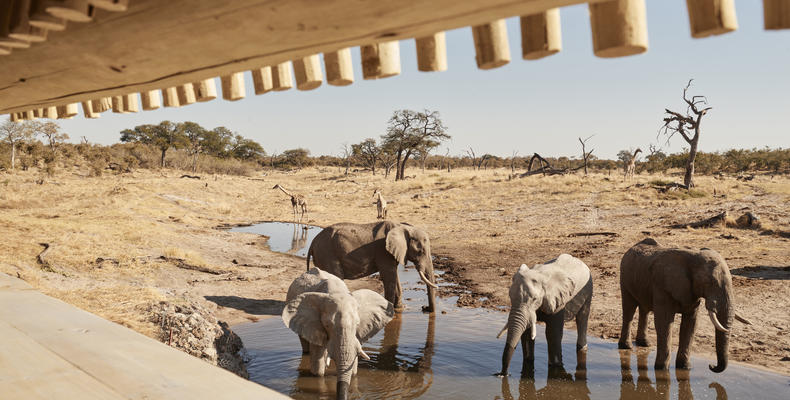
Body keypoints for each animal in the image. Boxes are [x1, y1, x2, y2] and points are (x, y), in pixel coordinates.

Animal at [284, 266, 396, 400]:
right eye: (327, 325)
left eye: (357, 324)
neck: (336, 292)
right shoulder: (315, 326)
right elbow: (318, 368)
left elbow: (353, 368)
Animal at [306, 222, 440, 312]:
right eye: (420, 252)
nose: (424, 308)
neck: (402, 227)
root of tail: (312, 243)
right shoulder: (383, 251)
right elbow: (389, 277)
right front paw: (390, 310)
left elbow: (394, 277)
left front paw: (399, 308)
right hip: (327, 254)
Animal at [620, 238, 756, 372]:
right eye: (709, 282)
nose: (711, 366)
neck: (693, 257)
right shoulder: (662, 287)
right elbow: (664, 323)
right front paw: (662, 369)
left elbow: (691, 324)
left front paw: (685, 367)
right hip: (624, 278)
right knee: (629, 310)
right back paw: (626, 346)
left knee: (644, 309)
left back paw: (645, 343)